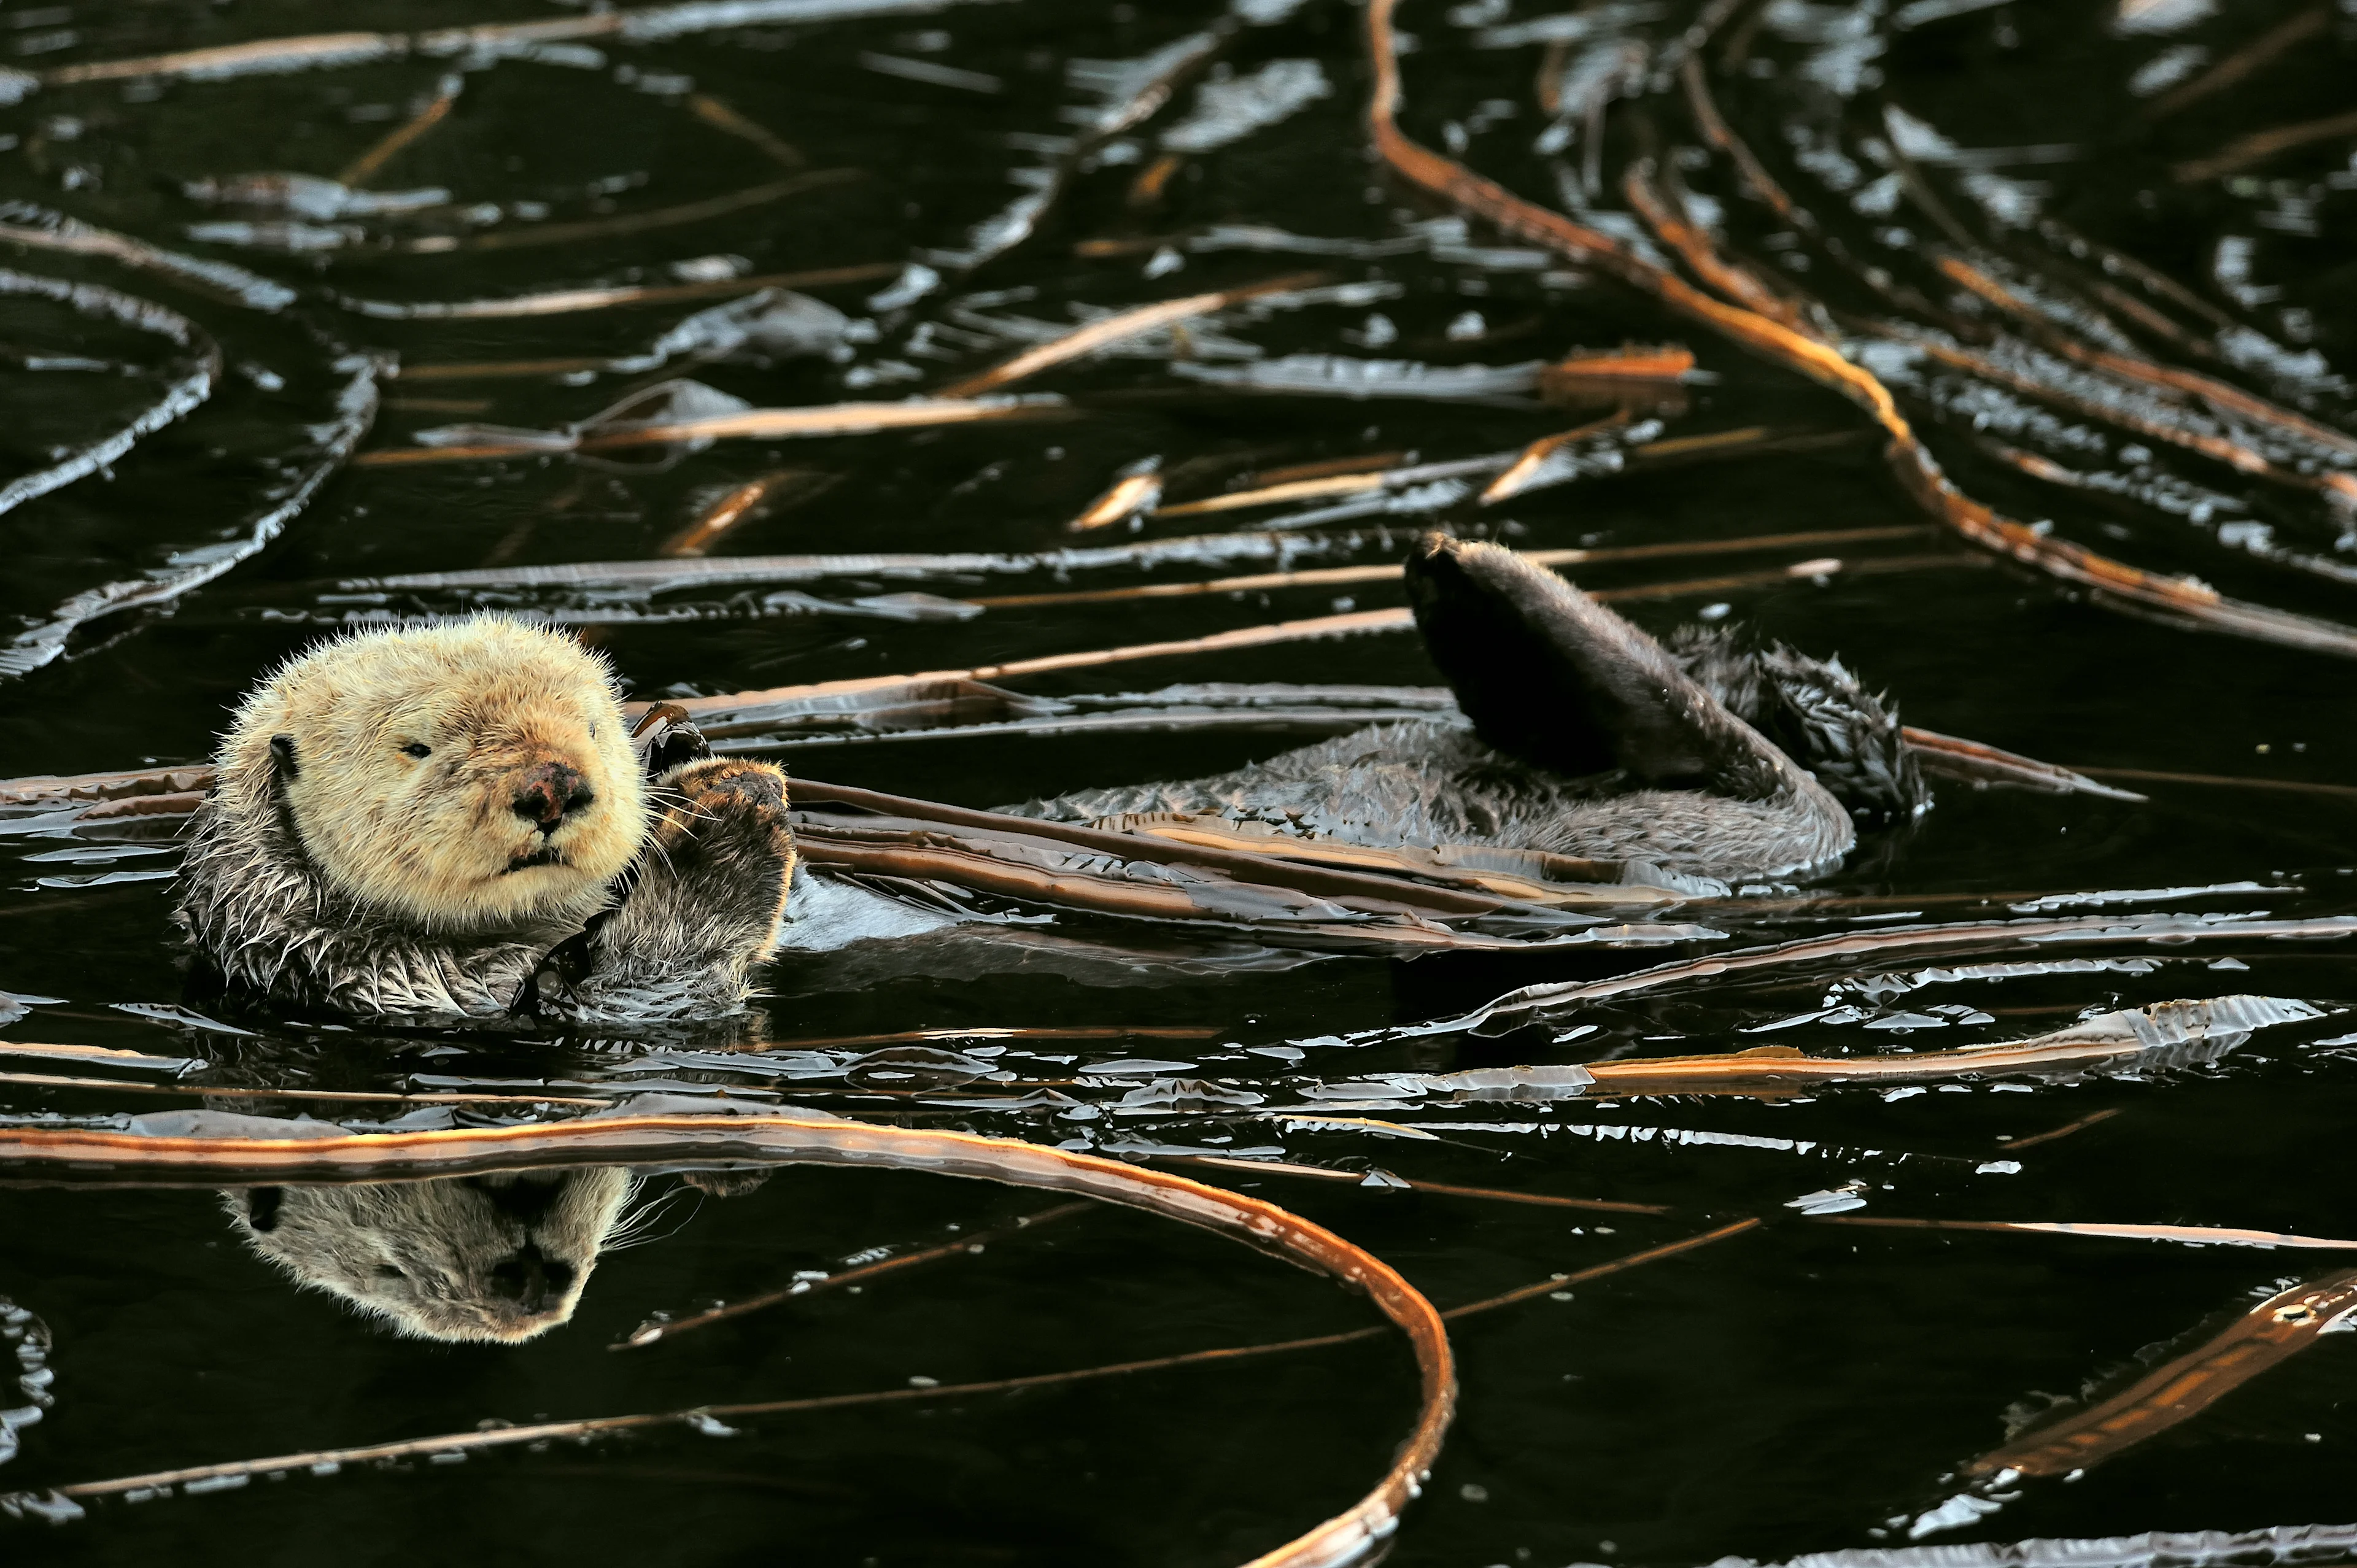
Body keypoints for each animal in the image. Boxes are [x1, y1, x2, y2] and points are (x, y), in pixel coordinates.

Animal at [176, 617, 795, 1025]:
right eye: (417, 747)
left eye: (593, 728)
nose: (552, 788)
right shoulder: (394, 978)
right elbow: (643, 993)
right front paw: (732, 821)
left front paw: (688, 752)